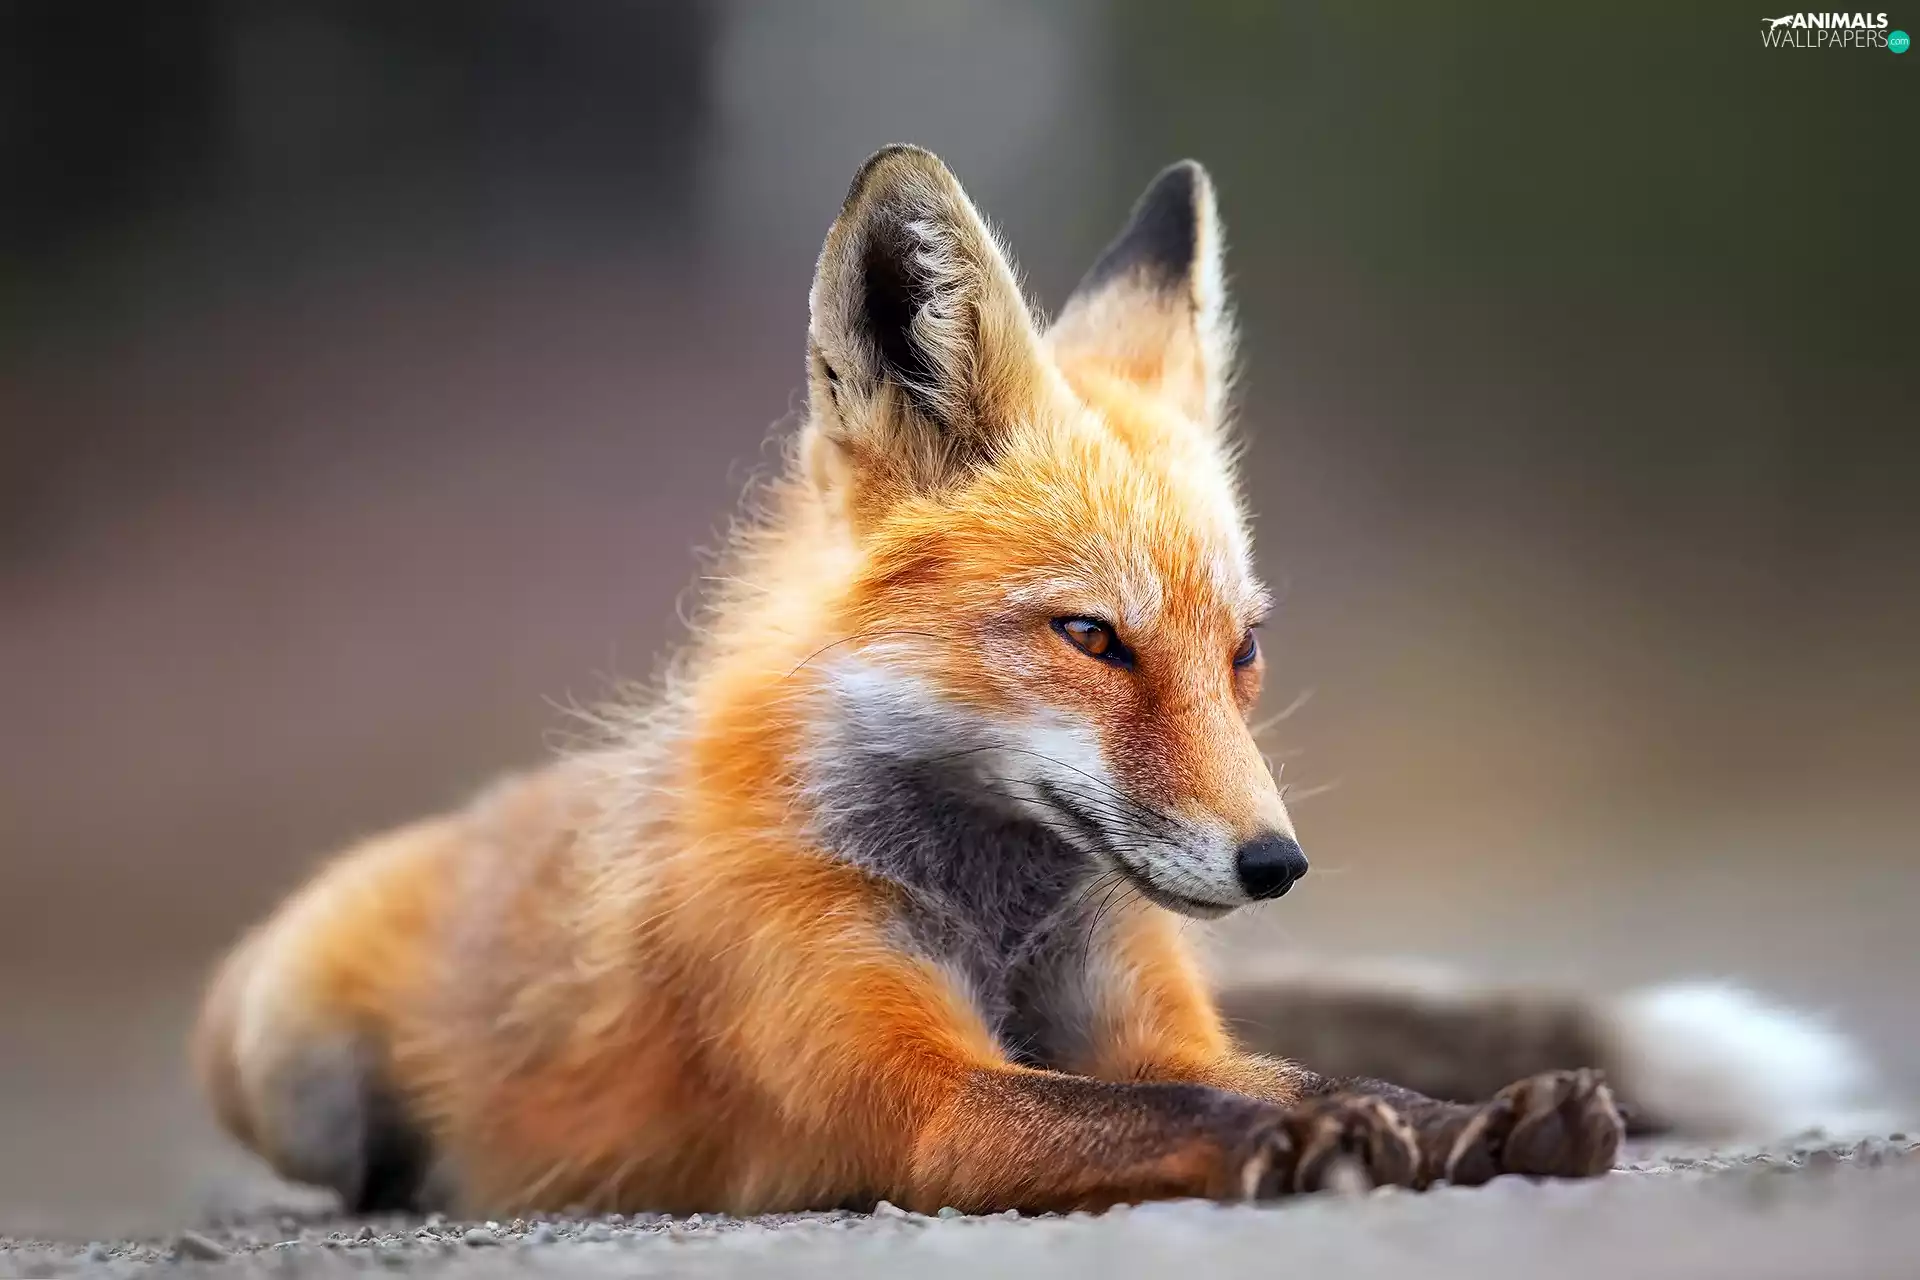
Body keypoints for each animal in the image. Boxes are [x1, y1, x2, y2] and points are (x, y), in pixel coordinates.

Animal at [193, 145, 1881, 1218]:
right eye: (1092, 638)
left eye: (1242, 650)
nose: (1275, 864)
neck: (994, 905)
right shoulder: (918, 1096)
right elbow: (1187, 1110)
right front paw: (1317, 1142)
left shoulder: (1148, 1015)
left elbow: (1295, 1067)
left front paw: (1477, 1119)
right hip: (292, 1067)